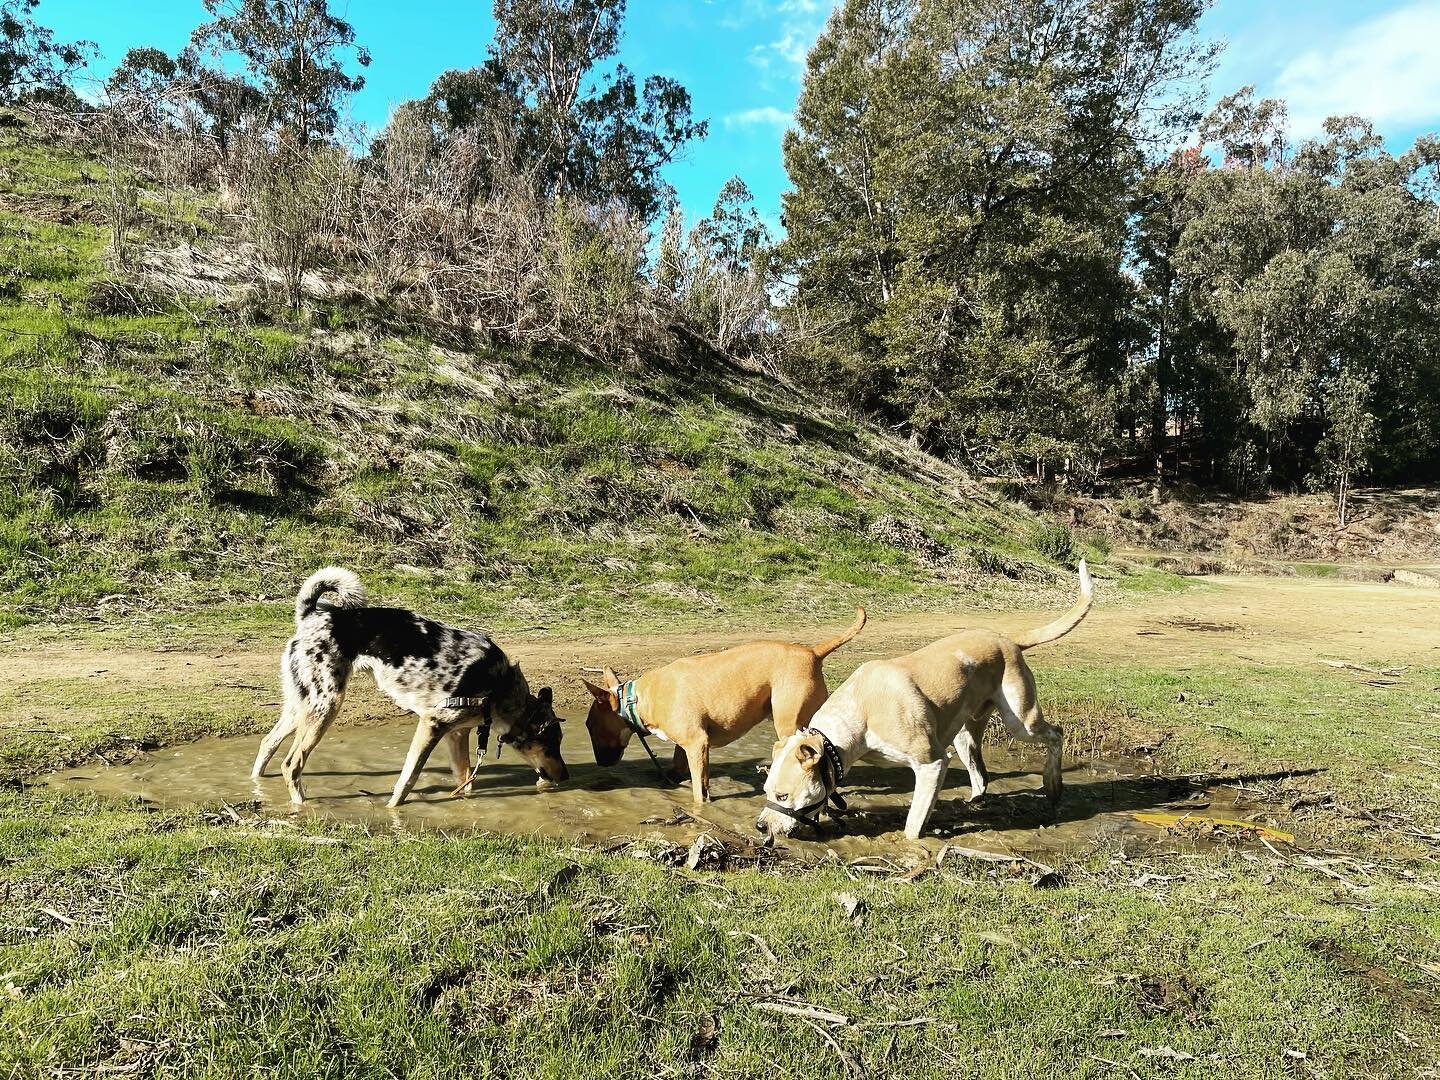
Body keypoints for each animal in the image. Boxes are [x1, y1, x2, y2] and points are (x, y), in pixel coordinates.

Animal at [253, 570, 567, 806]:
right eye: (552, 745)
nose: (566, 777)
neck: (500, 686)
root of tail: (312, 616)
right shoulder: (432, 725)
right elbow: (408, 779)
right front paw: (393, 810)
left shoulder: (457, 735)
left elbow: (465, 782)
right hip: (325, 708)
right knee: (291, 764)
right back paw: (302, 805)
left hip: (302, 708)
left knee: (268, 743)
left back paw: (257, 784)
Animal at [581, 610, 864, 806]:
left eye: (590, 726)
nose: (600, 764)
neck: (637, 700)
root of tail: (812, 653)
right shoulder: (687, 745)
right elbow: (680, 766)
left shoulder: (697, 743)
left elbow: (699, 790)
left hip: (790, 724)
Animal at [760, 567, 1082, 846]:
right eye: (765, 791)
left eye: (782, 795)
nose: (760, 825)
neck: (857, 713)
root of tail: (1007, 639)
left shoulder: (932, 763)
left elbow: (913, 824)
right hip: (966, 736)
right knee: (981, 776)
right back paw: (975, 802)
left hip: (1021, 722)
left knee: (1056, 733)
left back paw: (1053, 785)